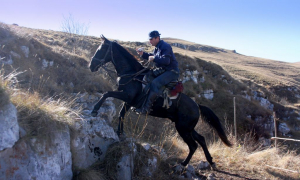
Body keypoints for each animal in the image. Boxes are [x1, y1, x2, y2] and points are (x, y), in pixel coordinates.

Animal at [88, 35, 232, 169]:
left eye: (101, 49)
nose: (91, 66)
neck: (132, 75)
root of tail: (197, 105)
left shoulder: (126, 97)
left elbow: (107, 94)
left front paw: (95, 110)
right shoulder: (129, 102)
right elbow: (121, 115)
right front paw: (119, 133)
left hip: (183, 128)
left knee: (193, 145)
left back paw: (183, 165)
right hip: (187, 127)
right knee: (201, 139)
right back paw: (211, 161)